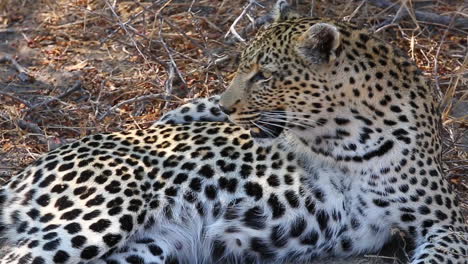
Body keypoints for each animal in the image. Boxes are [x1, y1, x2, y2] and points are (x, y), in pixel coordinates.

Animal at [0, 0, 468, 264]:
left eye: (264, 76)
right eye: (243, 65)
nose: (226, 108)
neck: (345, 137)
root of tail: (27, 171)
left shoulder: (448, 223)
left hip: (145, 246)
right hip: (105, 210)